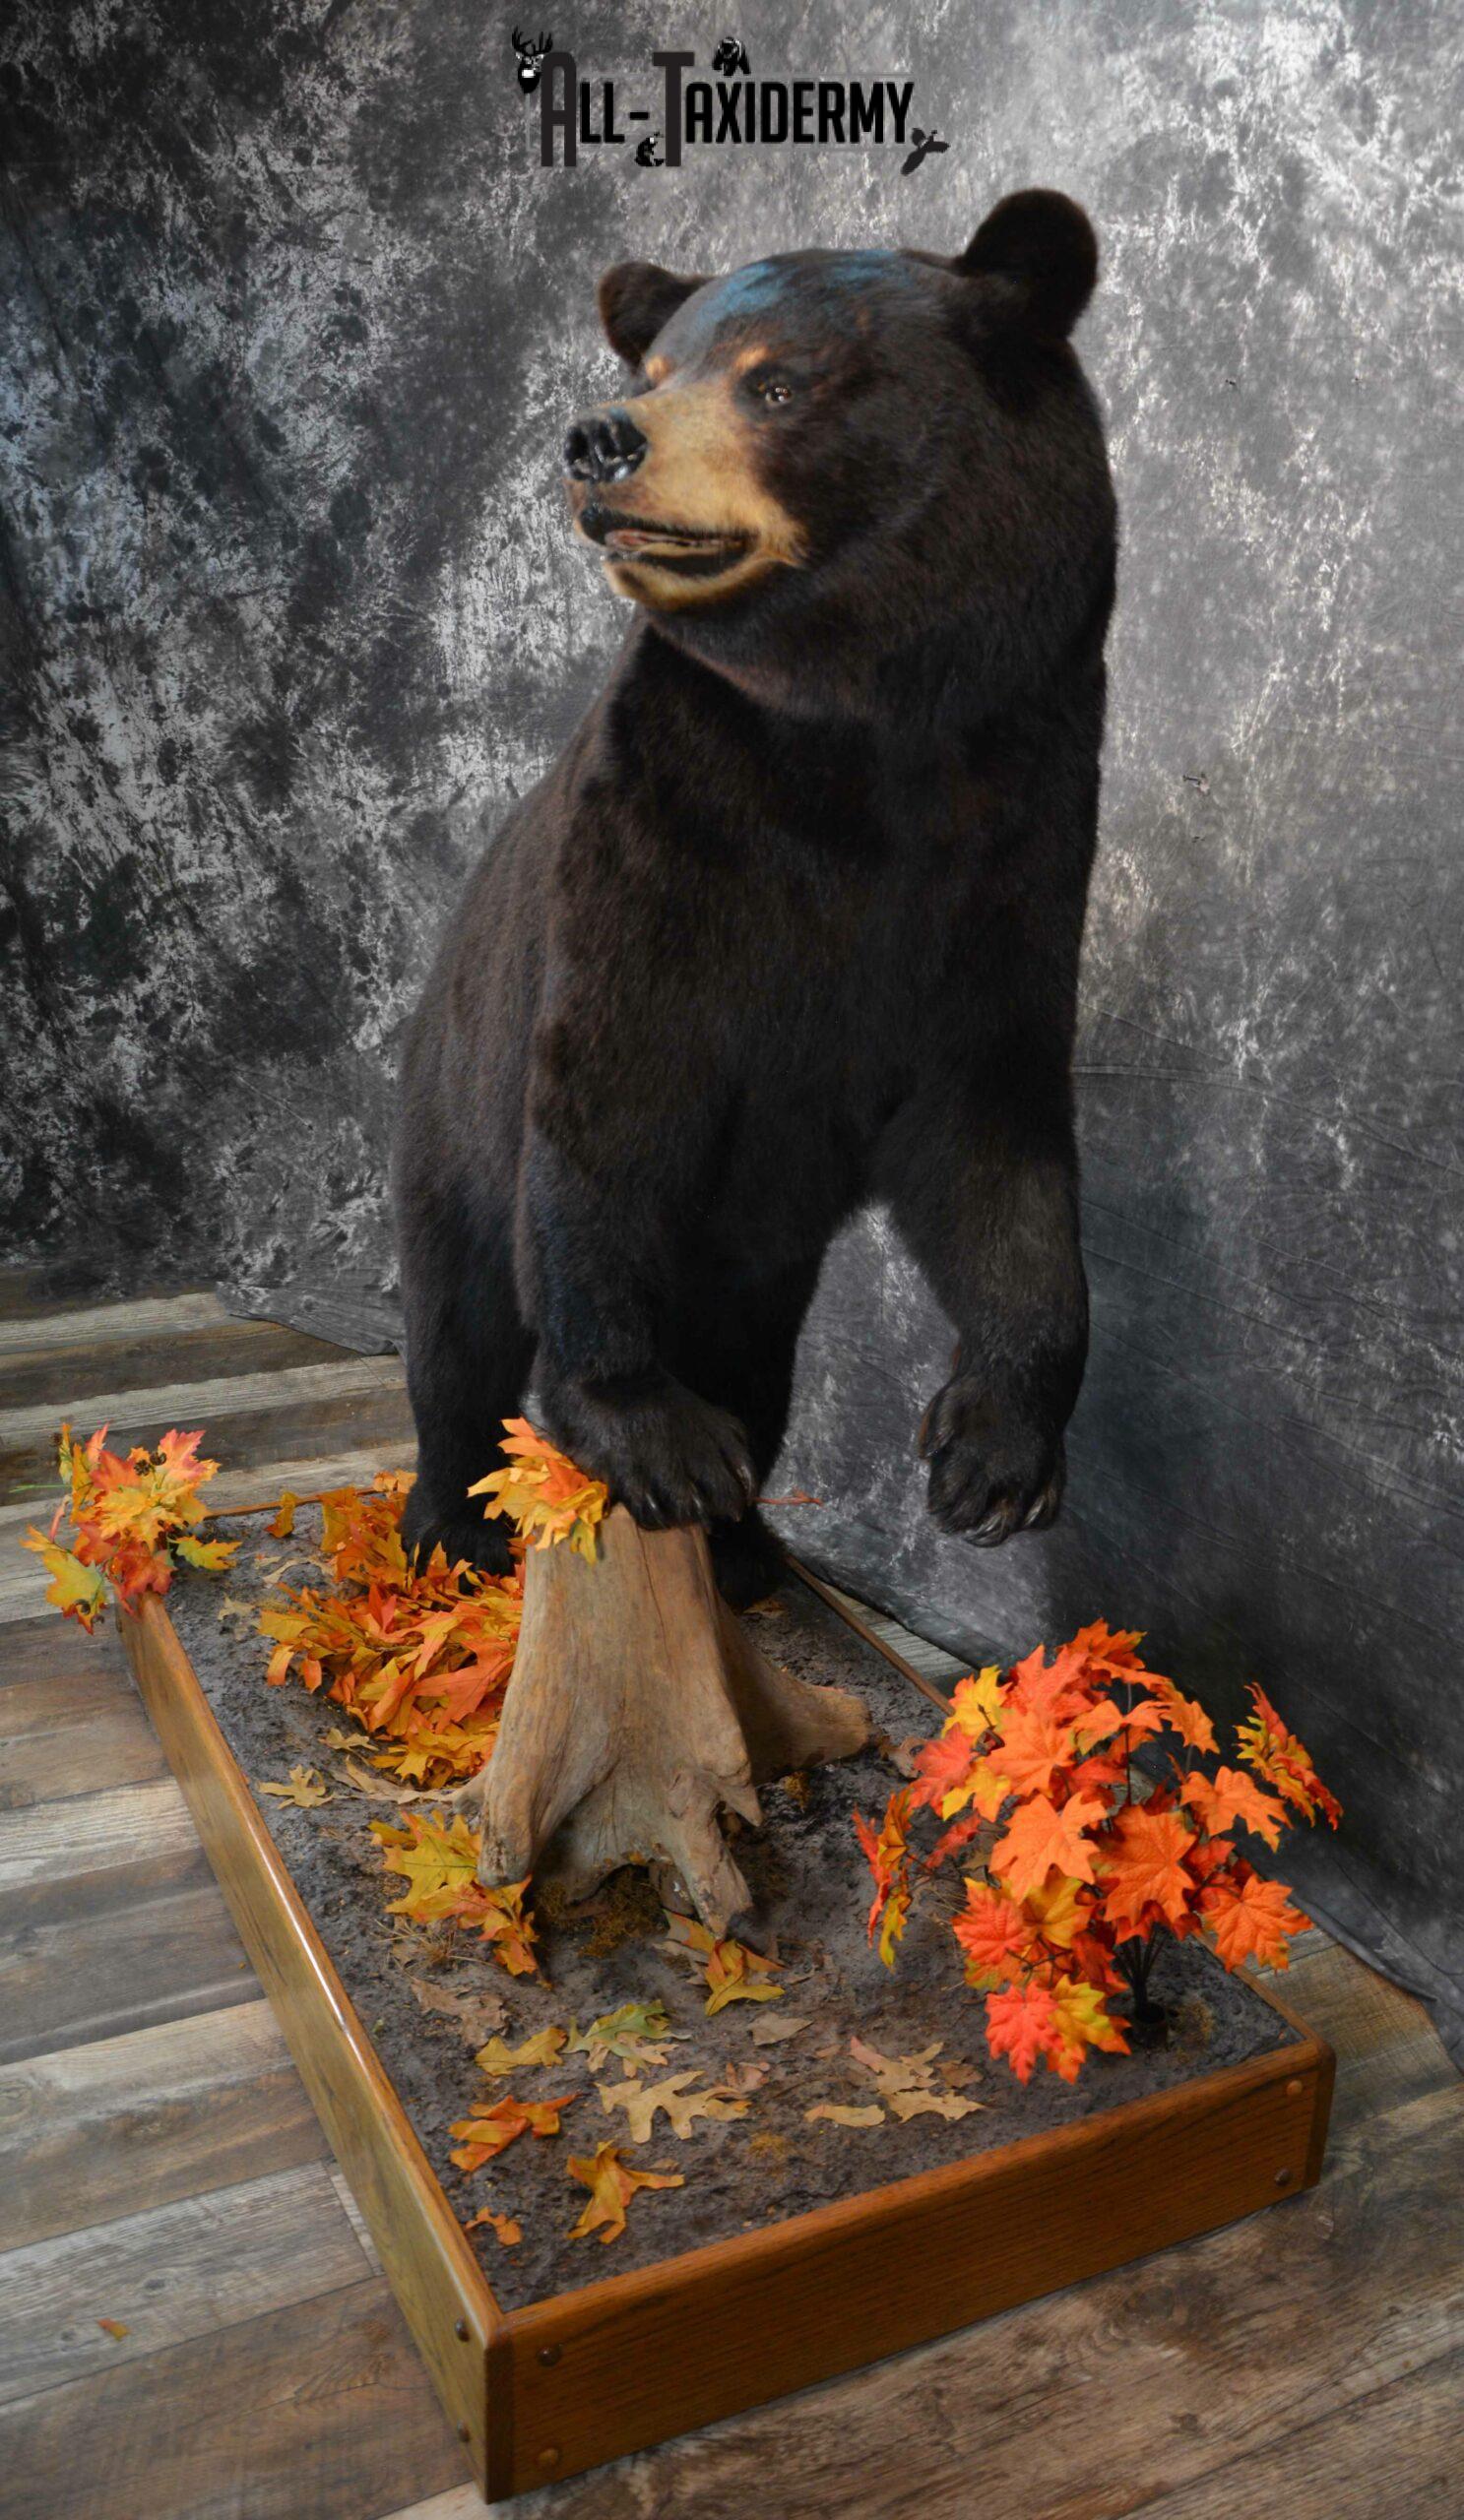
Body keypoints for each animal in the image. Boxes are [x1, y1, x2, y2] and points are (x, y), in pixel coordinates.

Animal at [393, 189, 1116, 1609]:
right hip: (450, 1106)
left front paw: (992, 1451)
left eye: (775, 381)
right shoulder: (659, 836)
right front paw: (650, 1433)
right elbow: (602, 1111)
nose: (598, 438)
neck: (863, 743)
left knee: (752, 1350)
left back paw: (745, 1552)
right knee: (455, 1325)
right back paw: (453, 1531)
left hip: (758, 1253)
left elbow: (992, 1139)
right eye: (654, 372)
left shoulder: (1011, 852)